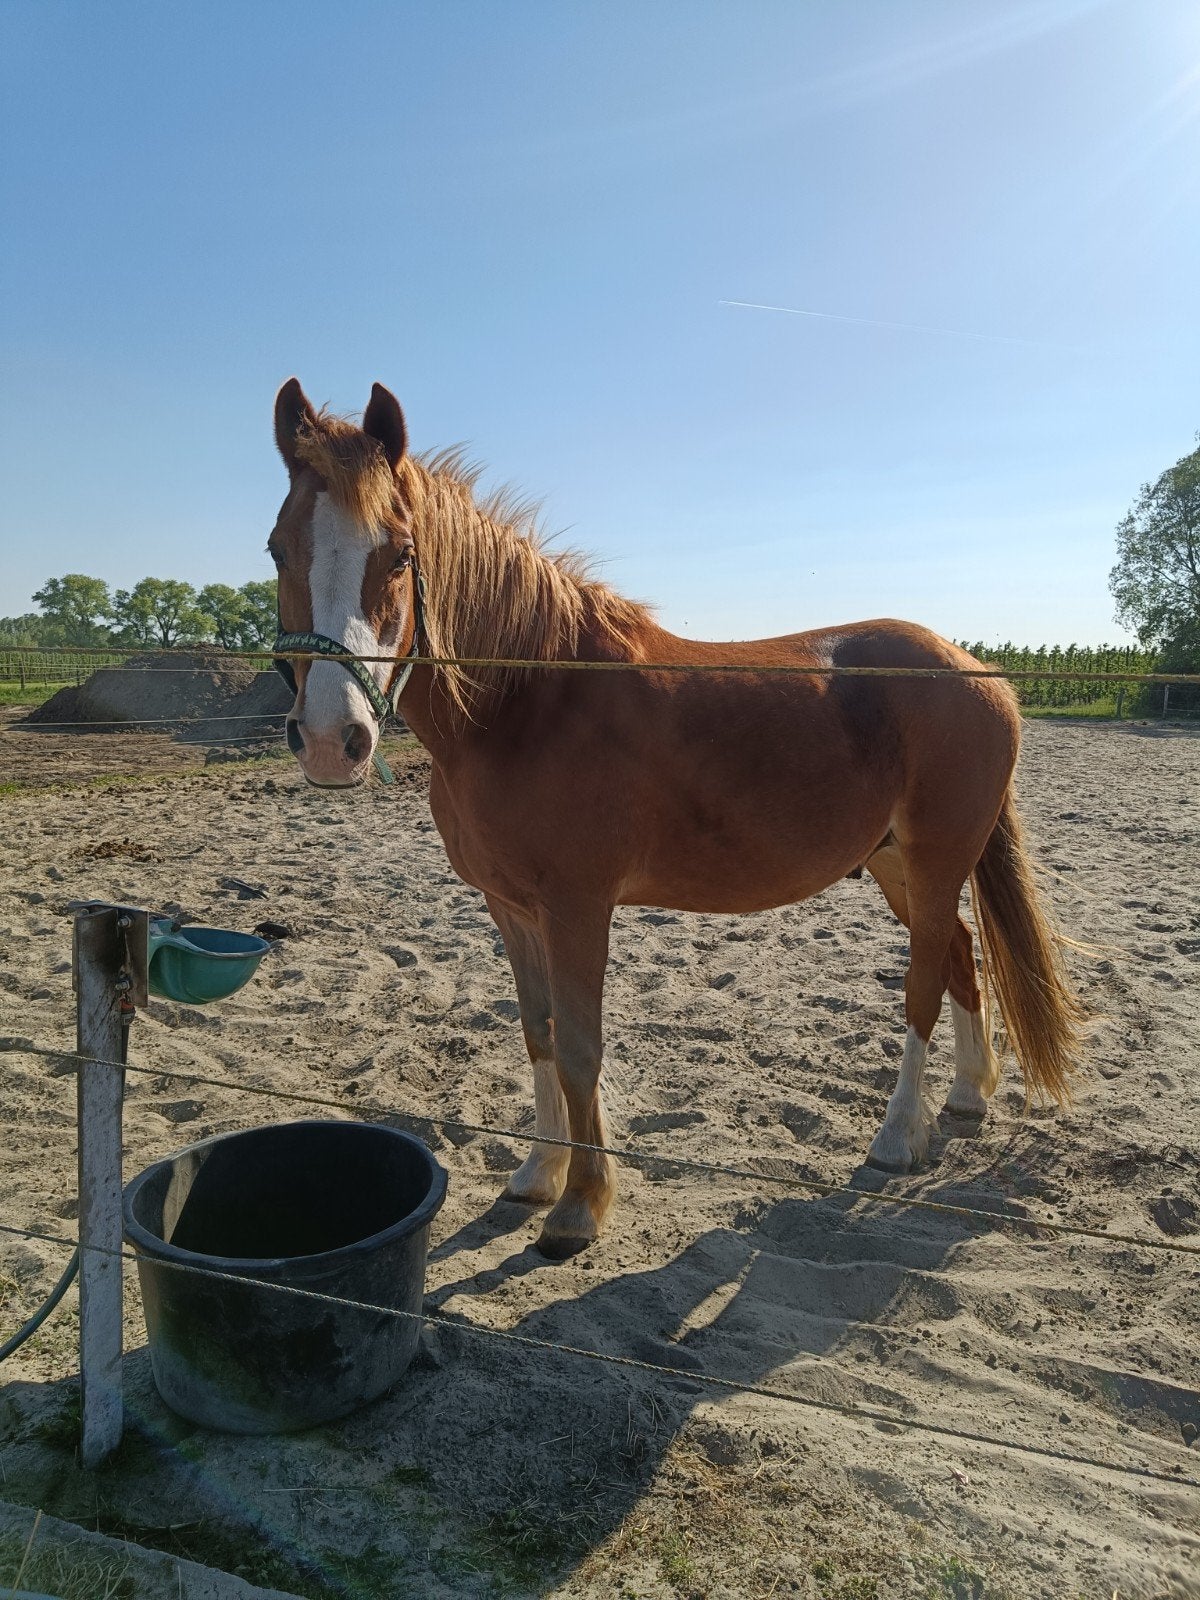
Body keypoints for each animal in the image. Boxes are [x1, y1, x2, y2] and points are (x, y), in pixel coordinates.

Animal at [266, 377, 1083, 1259]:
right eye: (278, 549)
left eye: (400, 555)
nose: (332, 740)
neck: (532, 699)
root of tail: (978, 671)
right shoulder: (510, 907)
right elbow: (538, 1032)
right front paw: (537, 1173)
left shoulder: (578, 908)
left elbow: (581, 1047)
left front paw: (580, 1206)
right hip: (898, 862)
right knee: (962, 955)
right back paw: (966, 1100)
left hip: (933, 863)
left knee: (925, 982)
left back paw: (899, 1136)